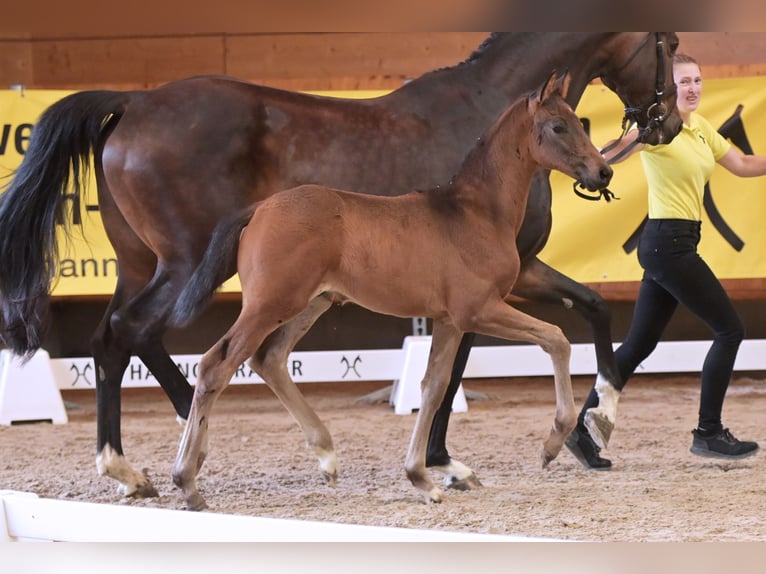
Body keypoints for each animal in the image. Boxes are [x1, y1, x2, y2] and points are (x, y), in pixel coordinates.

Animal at [171, 71, 616, 508]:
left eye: (581, 123)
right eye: (557, 126)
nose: (604, 172)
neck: (476, 213)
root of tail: (259, 209)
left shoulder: (449, 320)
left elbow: (433, 387)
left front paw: (422, 477)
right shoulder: (479, 309)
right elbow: (555, 339)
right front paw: (552, 443)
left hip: (310, 303)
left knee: (270, 359)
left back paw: (326, 455)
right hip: (270, 305)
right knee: (215, 365)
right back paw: (187, 482)